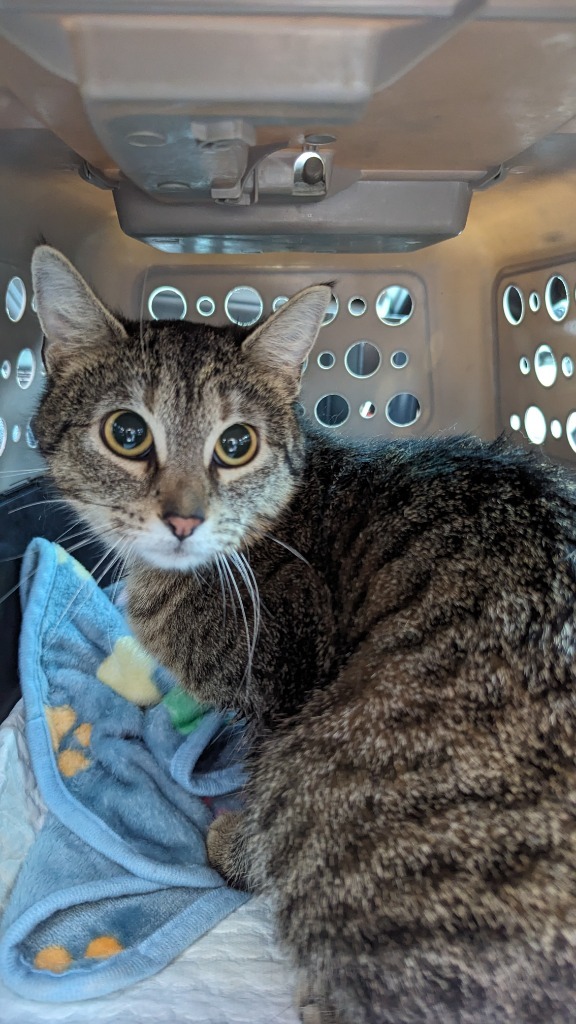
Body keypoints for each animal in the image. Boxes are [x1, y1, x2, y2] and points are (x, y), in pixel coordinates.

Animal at [32, 247, 576, 1024]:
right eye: (127, 434)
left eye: (236, 444)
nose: (184, 518)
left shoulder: (283, 696)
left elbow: (258, 805)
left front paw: (235, 846)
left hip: (325, 781)